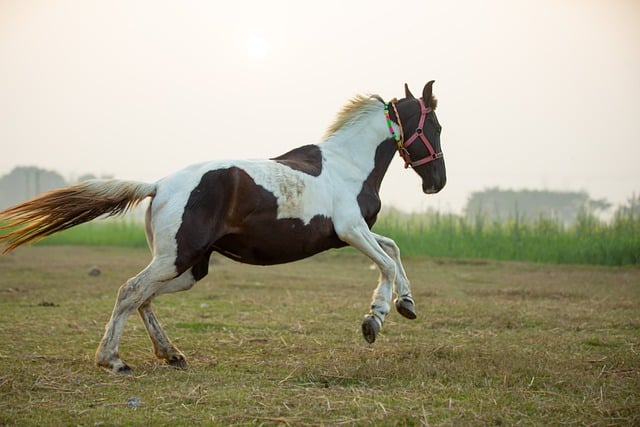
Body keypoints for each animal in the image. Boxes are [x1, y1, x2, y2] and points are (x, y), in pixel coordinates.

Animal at [0, 81, 444, 374]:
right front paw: (374, 320)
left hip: (187, 268)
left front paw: (404, 304)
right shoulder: (351, 231)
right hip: (175, 260)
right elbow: (386, 262)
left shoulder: (350, 234)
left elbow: (393, 250)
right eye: (436, 127)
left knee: (144, 298)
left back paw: (171, 354)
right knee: (130, 291)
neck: (349, 164)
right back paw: (112, 360)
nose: (436, 183)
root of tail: (158, 185)